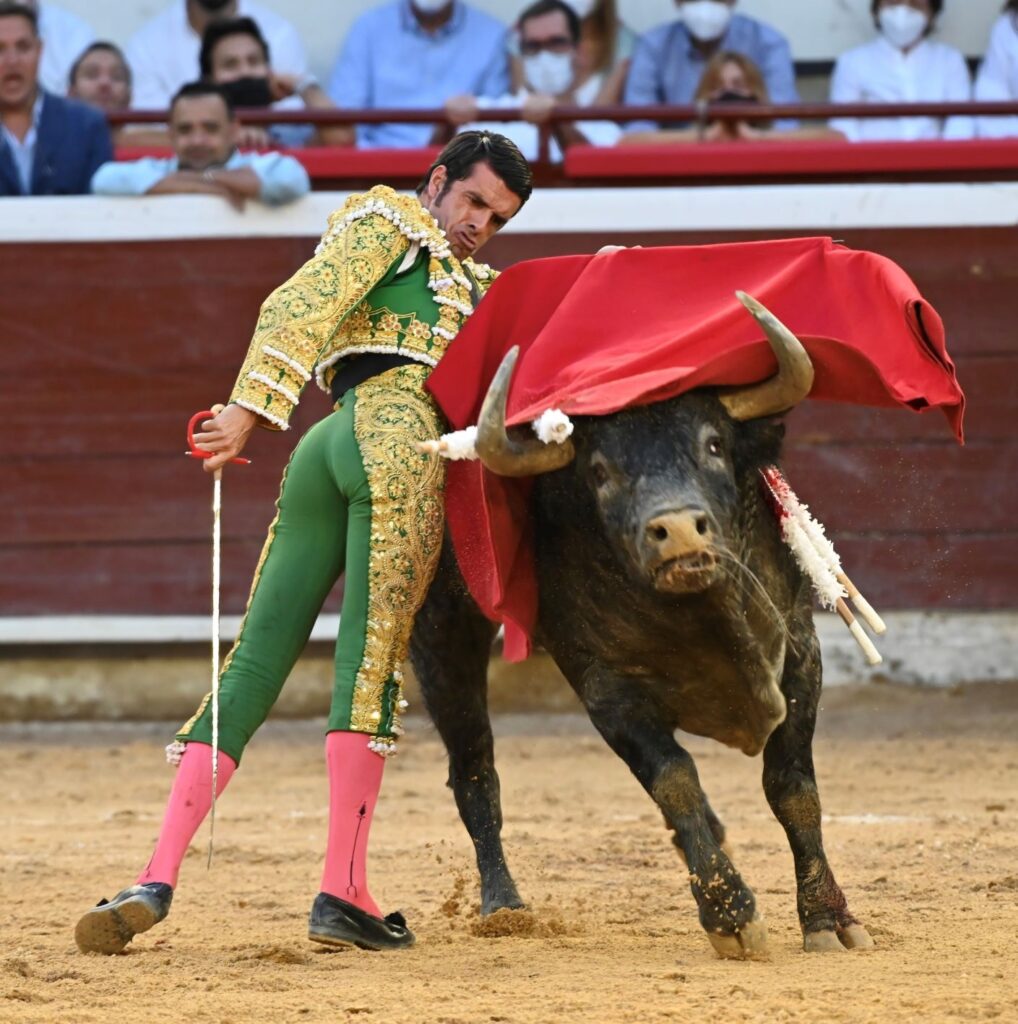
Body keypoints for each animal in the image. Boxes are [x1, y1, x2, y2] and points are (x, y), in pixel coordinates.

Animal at [409, 295, 874, 960]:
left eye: (713, 445)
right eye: (600, 471)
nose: (677, 531)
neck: (704, 614)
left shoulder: (801, 656)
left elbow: (794, 789)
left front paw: (829, 919)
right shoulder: (612, 692)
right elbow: (676, 780)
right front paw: (730, 916)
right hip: (442, 633)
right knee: (475, 768)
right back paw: (505, 907)